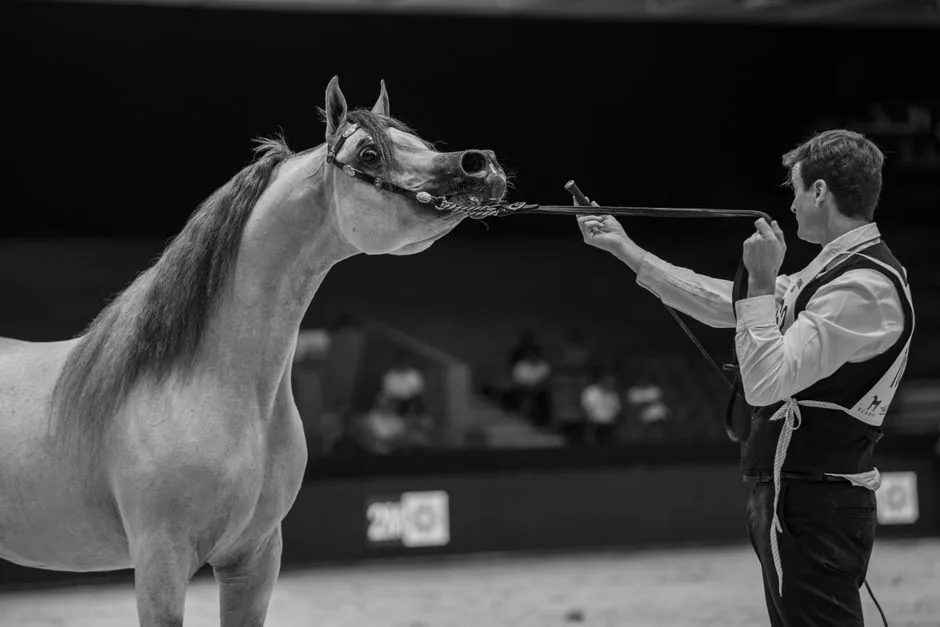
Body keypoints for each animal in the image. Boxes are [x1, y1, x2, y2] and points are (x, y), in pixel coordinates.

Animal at [0, 76, 508, 626]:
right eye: (369, 153)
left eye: (418, 140)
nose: (480, 164)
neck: (201, 387)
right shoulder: (160, 563)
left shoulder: (255, 559)